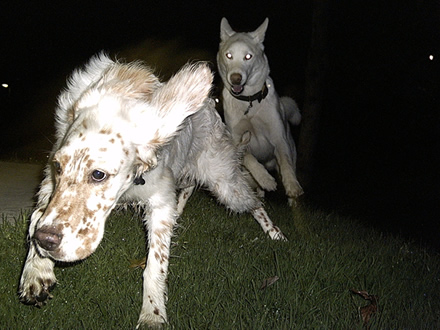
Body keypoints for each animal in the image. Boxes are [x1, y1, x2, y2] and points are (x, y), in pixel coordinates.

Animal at [18, 54, 288, 328]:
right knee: (190, 187)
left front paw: (152, 313)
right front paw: (36, 272)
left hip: (225, 185)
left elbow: (154, 265)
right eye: (58, 166)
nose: (46, 241)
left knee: (253, 200)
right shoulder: (50, 182)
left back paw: (274, 232)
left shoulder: (159, 202)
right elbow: (37, 216)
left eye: (98, 174)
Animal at [217, 18, 302, 205]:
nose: (235, 78)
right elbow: (249, 158)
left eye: (248, 56)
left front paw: (292, 185)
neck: (249, 101)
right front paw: (265, 179)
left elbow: (285, 163)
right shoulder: (236, 139)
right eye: (229, 55)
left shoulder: (278, 138)